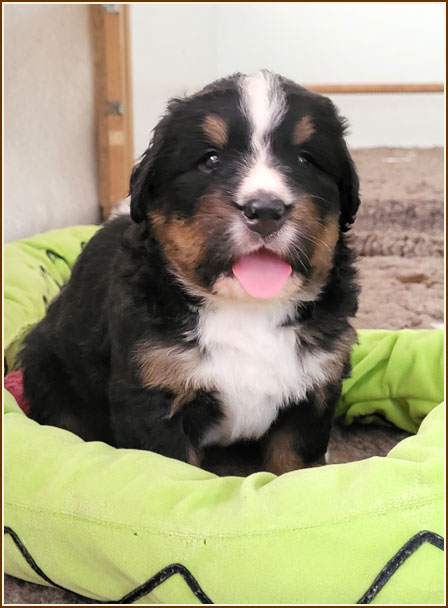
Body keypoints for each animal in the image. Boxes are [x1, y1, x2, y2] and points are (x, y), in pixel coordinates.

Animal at [21, 71, 360, 475]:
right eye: (210, 159)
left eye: (306, 159)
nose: (265, 209)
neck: (248, 311)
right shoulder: (153, 394)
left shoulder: (314, 389)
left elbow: (294, 462)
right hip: (44, 363)